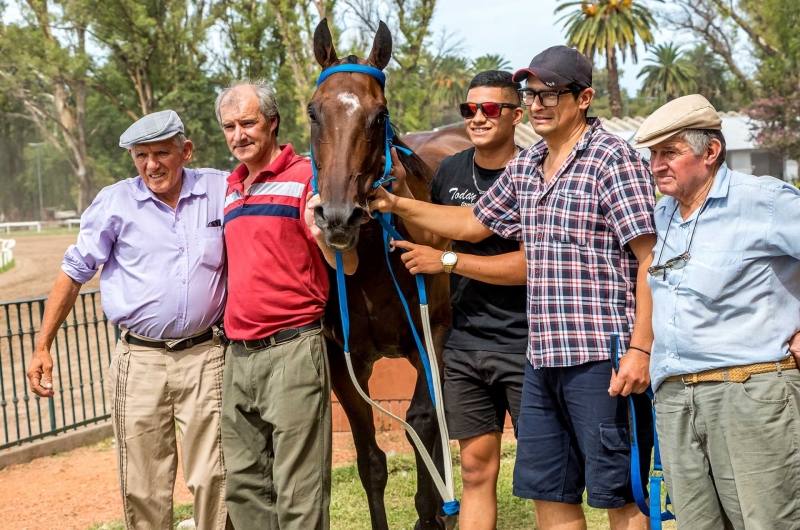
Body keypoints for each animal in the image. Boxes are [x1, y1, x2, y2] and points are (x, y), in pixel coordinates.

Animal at [310, 18, 476, 528]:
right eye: (313, 112)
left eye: (379, 115)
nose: (337, 217)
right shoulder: (343, 358)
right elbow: (370, 461)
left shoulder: (433, 334)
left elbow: (423, 423)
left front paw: (433, 511)